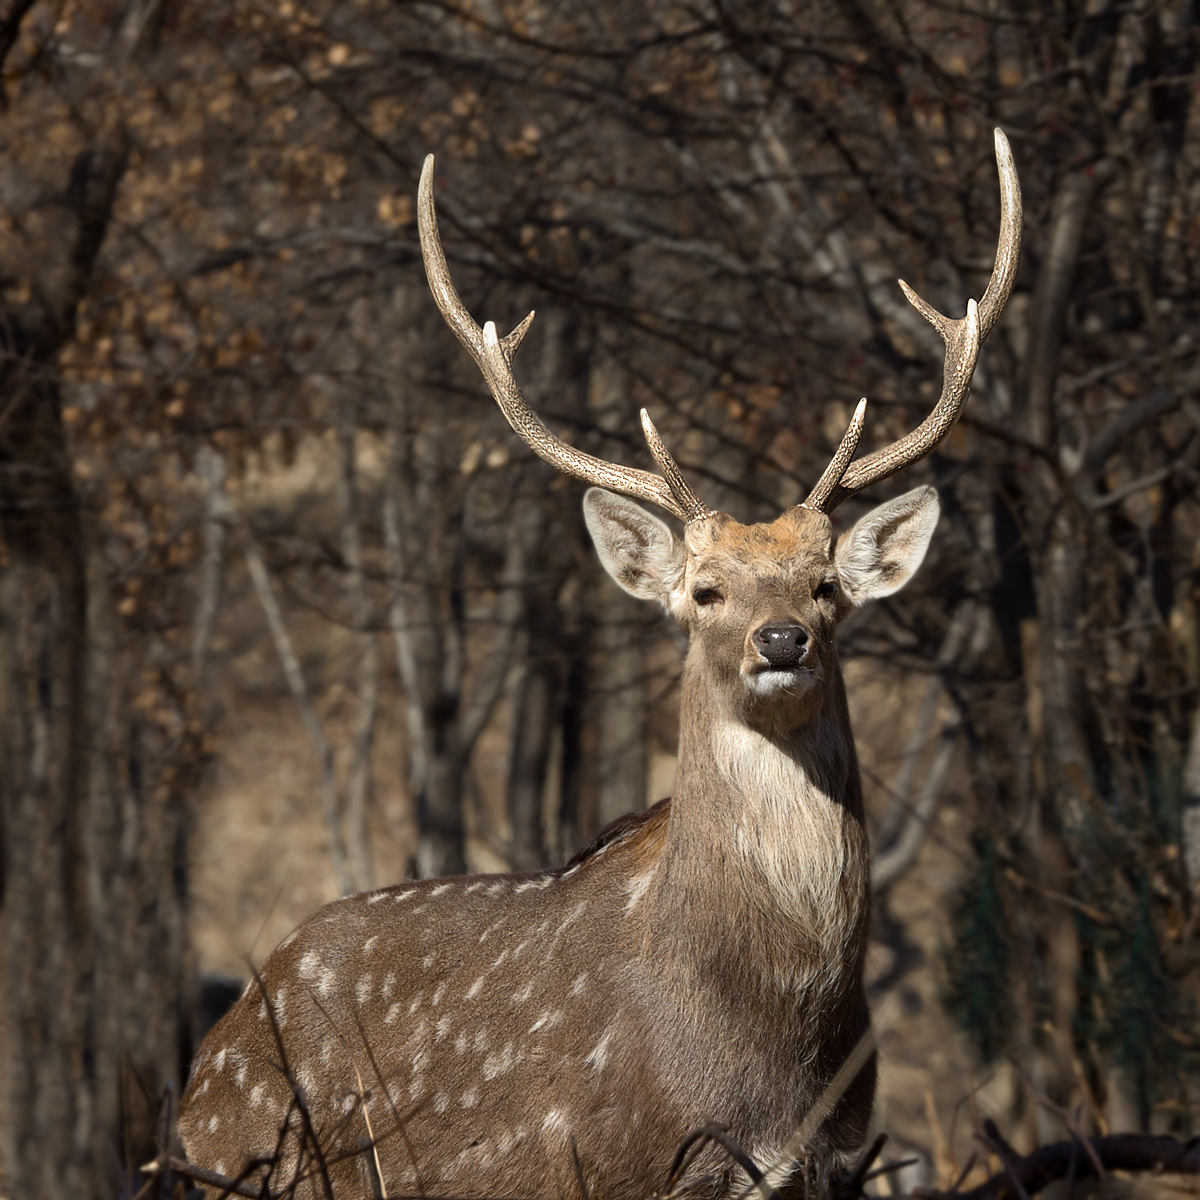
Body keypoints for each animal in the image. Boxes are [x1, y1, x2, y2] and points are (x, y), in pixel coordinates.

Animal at [179, 130, 1021, 1200]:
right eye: (705, 591)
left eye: (827, 584)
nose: (781, 639)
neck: (768, 1053)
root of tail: (205, 1066)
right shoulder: (610, 1160)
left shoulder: (836, 1159)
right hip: (252, 1161)